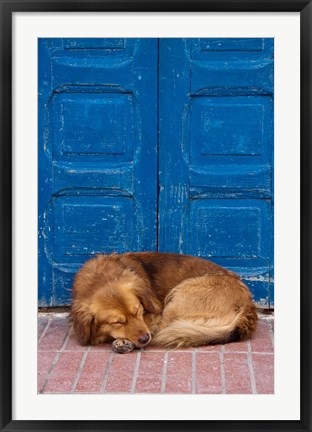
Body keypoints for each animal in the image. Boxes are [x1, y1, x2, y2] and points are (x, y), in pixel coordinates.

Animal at [70, 253, 258, 352]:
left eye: (138, 311)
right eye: (117, 322)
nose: (145, 338)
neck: (100, 277)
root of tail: (249, 305)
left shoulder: (154, 315)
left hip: (178, 297)